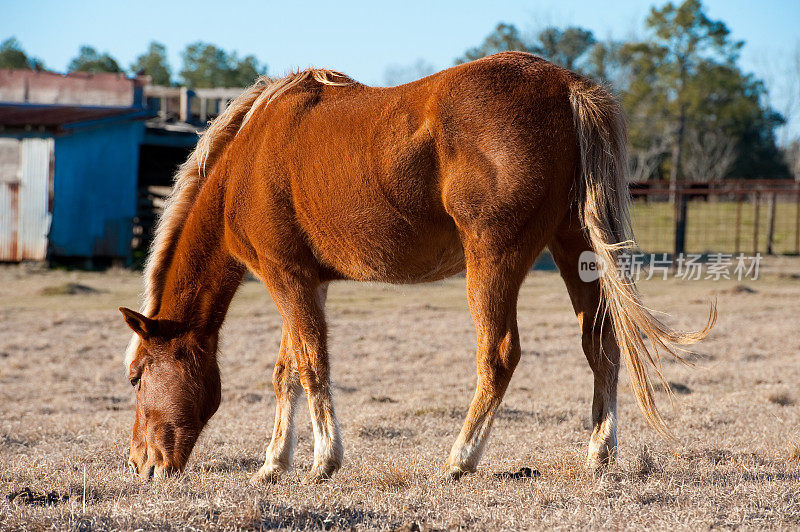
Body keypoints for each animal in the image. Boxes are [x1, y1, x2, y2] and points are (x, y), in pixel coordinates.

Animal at [119, 53, 712, 482]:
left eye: (135, 376)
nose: (141, 465)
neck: (247, 157)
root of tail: (565, 85)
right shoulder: (307, 281)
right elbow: (288, 370)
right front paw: (272, 464)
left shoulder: (284, 275)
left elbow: (311, 366)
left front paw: (323, 461)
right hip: (575, 251)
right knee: (601, 346)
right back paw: (598, 454)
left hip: (492, 260)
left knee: (499, 354)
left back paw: (460, 458)